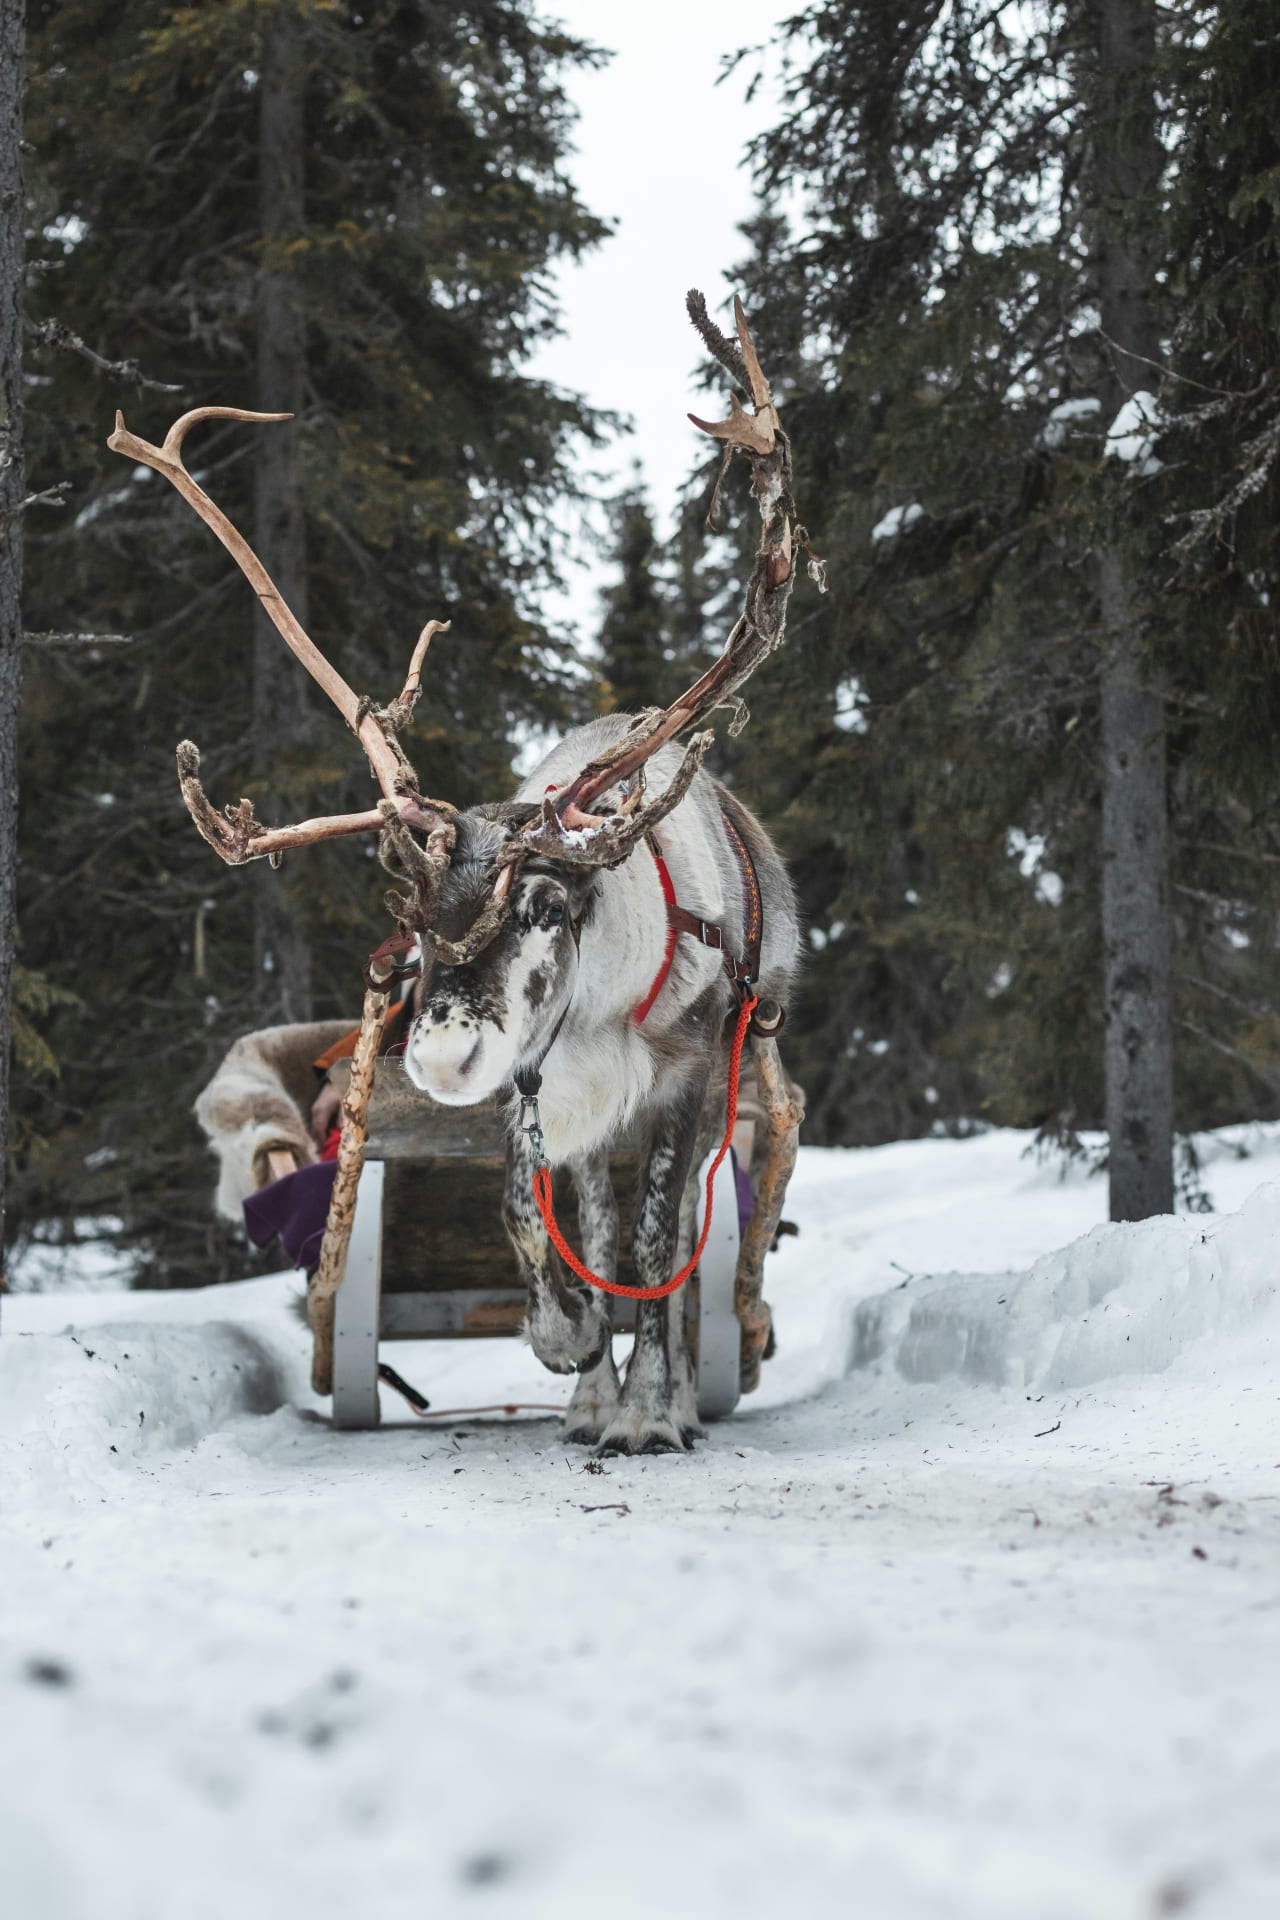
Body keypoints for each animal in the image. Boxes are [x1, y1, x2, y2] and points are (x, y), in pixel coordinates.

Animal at [108, 292, 822, 1455]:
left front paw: (647, 1413)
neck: (604, 1008)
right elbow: (534, 1215)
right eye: (409, 917)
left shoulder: (678, 1087)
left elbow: (659, 1248)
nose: (440, 1058)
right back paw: (586, 1393)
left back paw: (663, 1398)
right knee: (592, 1227)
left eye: (545, 903)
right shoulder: (539, 1090)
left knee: (675, 1248)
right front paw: (569, 1353)